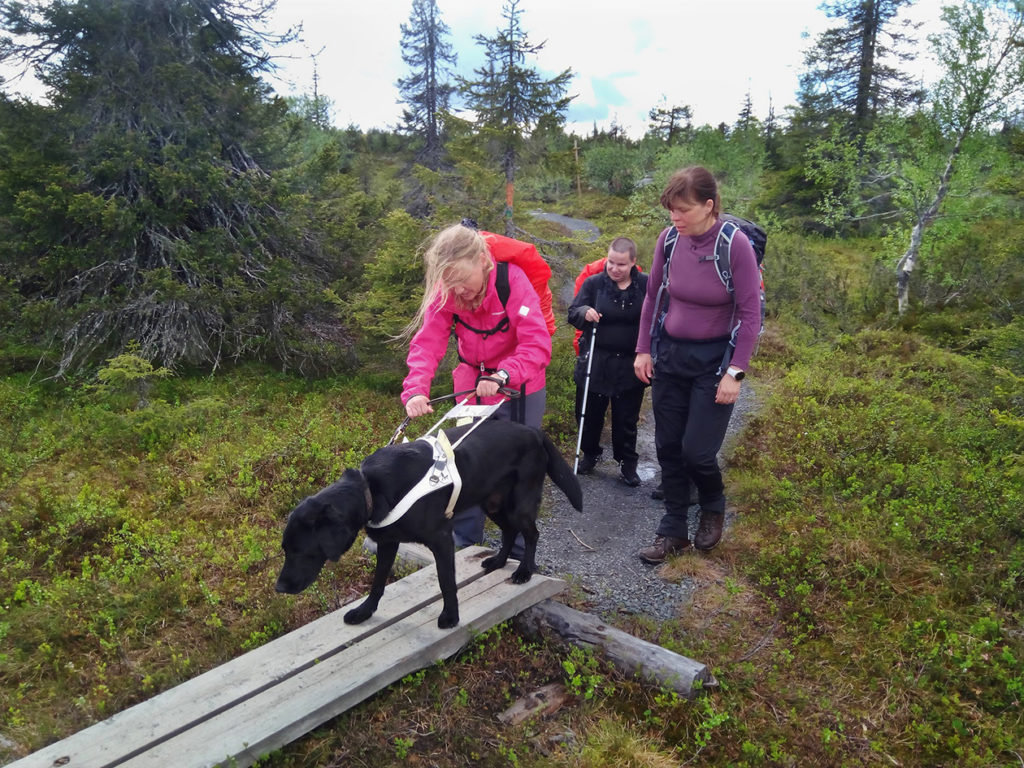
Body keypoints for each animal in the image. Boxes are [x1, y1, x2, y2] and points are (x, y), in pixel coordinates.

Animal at [274, 421, 585, 630]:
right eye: (285, 550)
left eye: (301, 551)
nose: (279, 587)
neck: (370, 490)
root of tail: (534, 431)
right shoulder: (388, 542)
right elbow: (377, 582)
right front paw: (365, 612)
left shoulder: (441, 538)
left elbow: (446, 581)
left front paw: (451, 617)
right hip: (493, 502)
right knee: (509, 531)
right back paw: (498, 561)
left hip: (519, 504)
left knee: (531, 533)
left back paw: (523, 571)